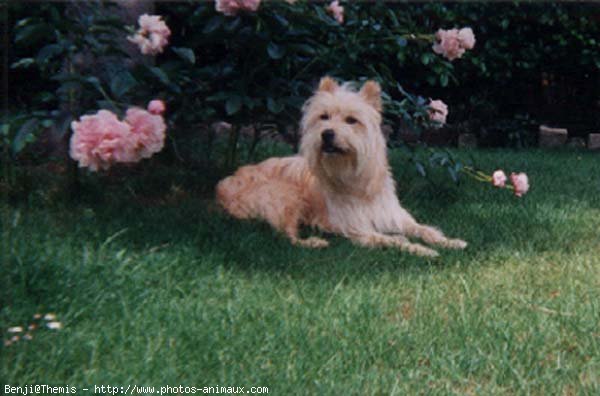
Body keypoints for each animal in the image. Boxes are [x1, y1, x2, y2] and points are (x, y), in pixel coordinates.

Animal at [217, 77, 468, 256]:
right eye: (324, 117)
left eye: (351, 120)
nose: (327, 134)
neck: (355, 181)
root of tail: (223, 185)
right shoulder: (357, 229)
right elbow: (392, 240)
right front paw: (420, 249)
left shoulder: (396, 217)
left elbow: (424, 229)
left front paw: (450, 242)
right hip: (285, 195)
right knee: (286, 236)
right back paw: (313, 242)